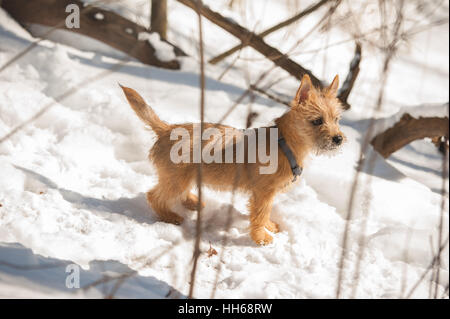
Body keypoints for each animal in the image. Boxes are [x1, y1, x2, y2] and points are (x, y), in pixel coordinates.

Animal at [119, 74, 344, 245]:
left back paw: (191, 201)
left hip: (182, 177)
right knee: (154, 196)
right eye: (317, 121)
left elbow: (266, 213)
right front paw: (261, 237)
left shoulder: (267, 194)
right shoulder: (263, 193)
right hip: (176, 179)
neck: (285, 143)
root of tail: (167, 129)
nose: (339, 138)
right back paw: (169, 216)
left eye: (336, 119)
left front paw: (268, 226)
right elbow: (260, 213)